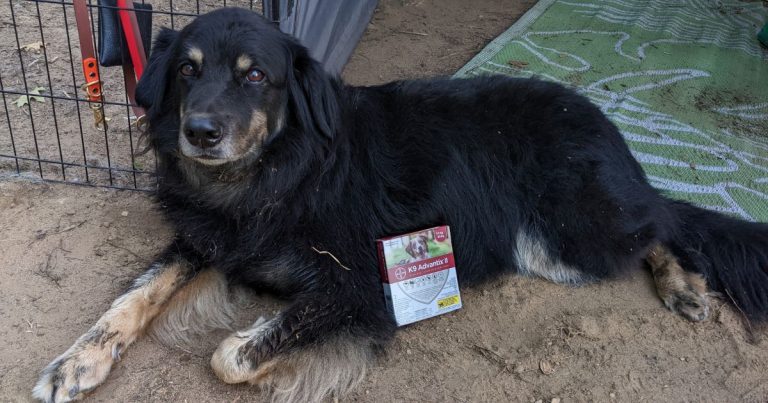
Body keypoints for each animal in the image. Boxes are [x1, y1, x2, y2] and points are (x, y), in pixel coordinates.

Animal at [33, 7, 768, 403]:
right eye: (186, 69)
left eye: (256, 76)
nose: (201, 132)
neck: (273, 175)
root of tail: (608, 128)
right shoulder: (207, 240)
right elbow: (135, 294)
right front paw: (76, 361)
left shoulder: (359, 283)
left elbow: (231, 355)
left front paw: (256, 345)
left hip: (561, 236)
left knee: (666, 219)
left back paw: (684, 284)